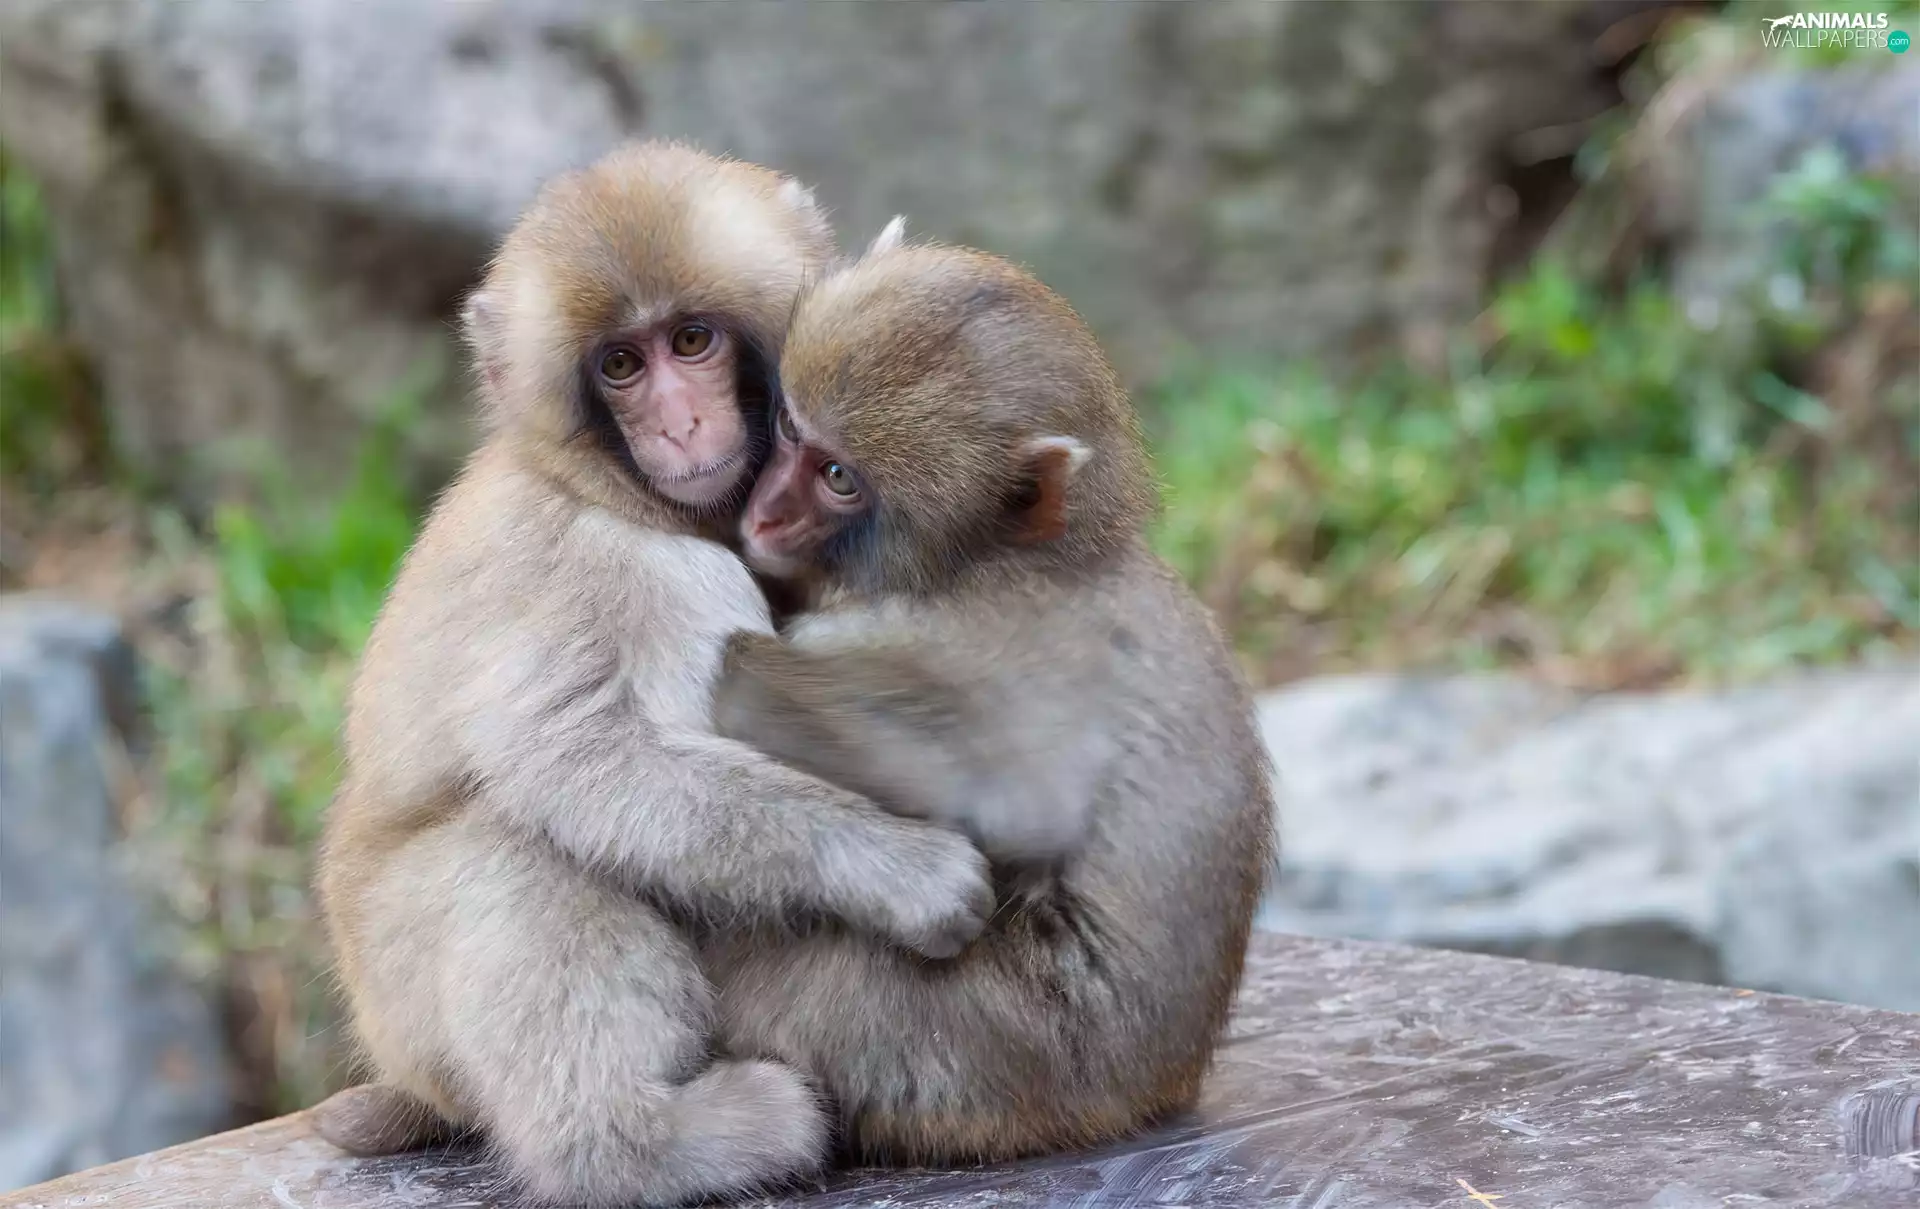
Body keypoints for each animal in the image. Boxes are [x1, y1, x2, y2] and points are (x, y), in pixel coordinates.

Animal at [308, 145, 996, 1207]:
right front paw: (898, 866)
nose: (677, 422)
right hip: (401, 985)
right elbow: (581, 756)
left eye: (692, 339)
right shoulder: (627, 568)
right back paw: (642, 1147)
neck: (608, 490)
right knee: (511, 852)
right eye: (622, 366)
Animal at [701, 226, 1278, 1164]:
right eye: (790, 428)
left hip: (988, 1052)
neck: (995, 557)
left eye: (838, 476)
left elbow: (1021, 800)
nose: (768, 512)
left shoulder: (976, 636)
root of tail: (1156, 1092)